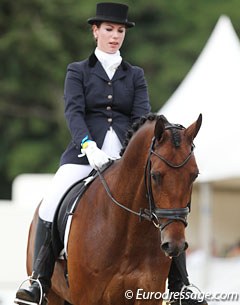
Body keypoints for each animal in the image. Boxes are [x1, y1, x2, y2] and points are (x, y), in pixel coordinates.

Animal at [24, 113, 201, 304]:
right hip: (53, 295)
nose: (174, 244)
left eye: (194, 175)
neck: (128, 233)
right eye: (155, 175)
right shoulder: (87, 297)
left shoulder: (148, 295)